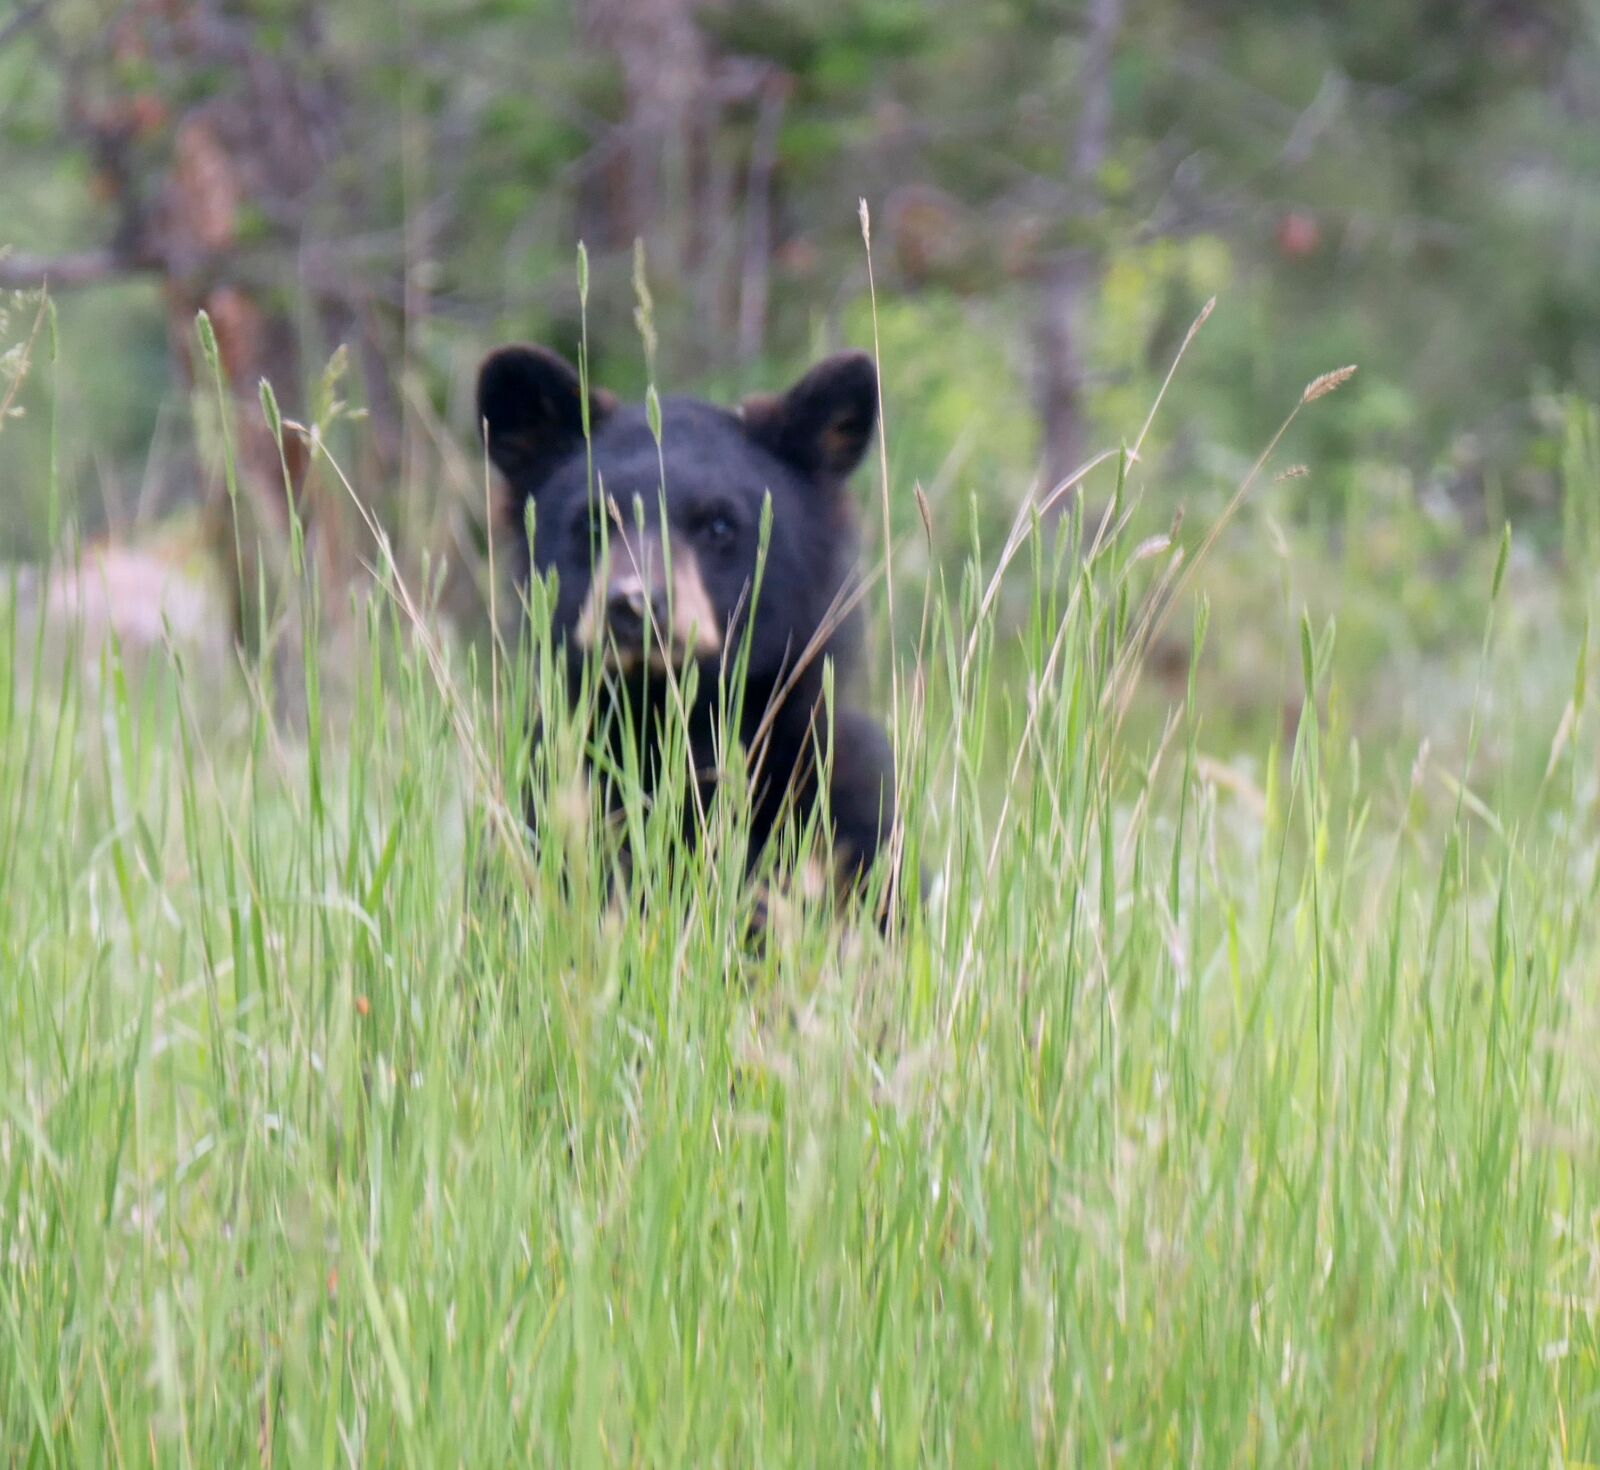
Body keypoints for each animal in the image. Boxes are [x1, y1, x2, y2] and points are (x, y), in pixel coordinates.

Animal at [476, 341, 903, 917]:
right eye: (592, 523)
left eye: (719, 525)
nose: (635, 604)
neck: (675, 728)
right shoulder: (553, 813)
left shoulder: (838, 816)